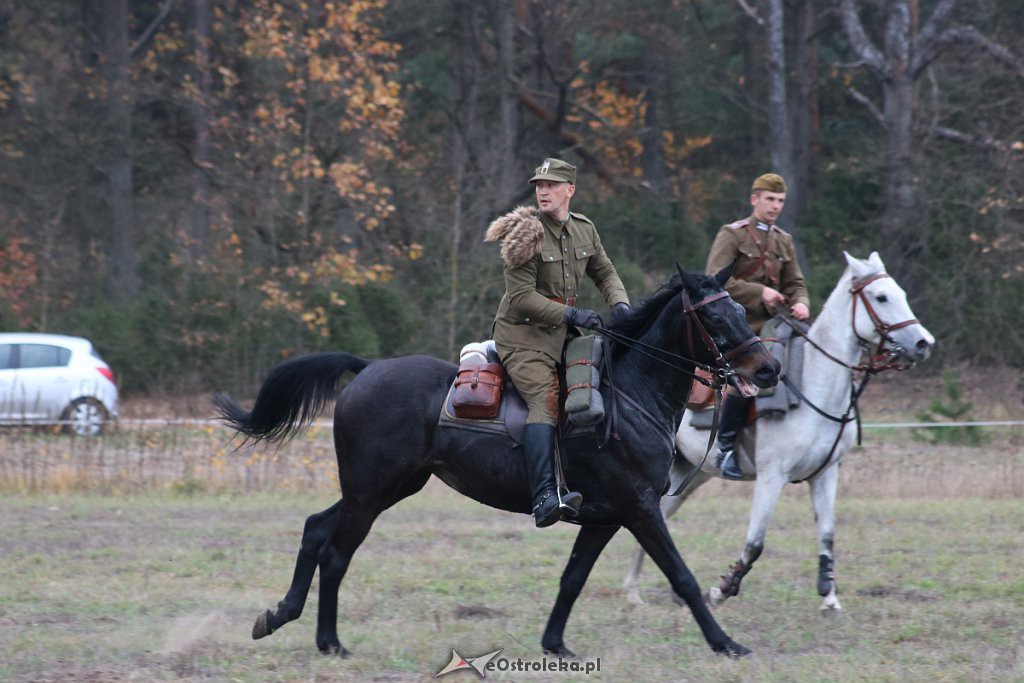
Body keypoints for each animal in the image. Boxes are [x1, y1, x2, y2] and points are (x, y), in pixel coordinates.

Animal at [214, 266, 774, 655]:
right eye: (715, 316)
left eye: (742, 311)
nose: (768, 368)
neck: (630, 392)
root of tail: (368, 368)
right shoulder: (640, 509)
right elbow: (682, 577)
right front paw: (726, 643)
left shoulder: (606, 517)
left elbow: (572, 579)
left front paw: (555, 645)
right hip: (370, 493)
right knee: (334, 554)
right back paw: (328, 641)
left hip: (385, 488)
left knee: (315, 529)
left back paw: (283, 617)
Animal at [622, 252, 937, 614]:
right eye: (881, 297)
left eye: (901, 293)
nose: (923, 343)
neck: (815, 385)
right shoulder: (772, 476)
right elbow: (756, 542)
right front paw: (723, 589)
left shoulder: (826, 474)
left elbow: (827, 534)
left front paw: (829, 596)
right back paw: (635, 592)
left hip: (689, 474)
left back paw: (642, 590)